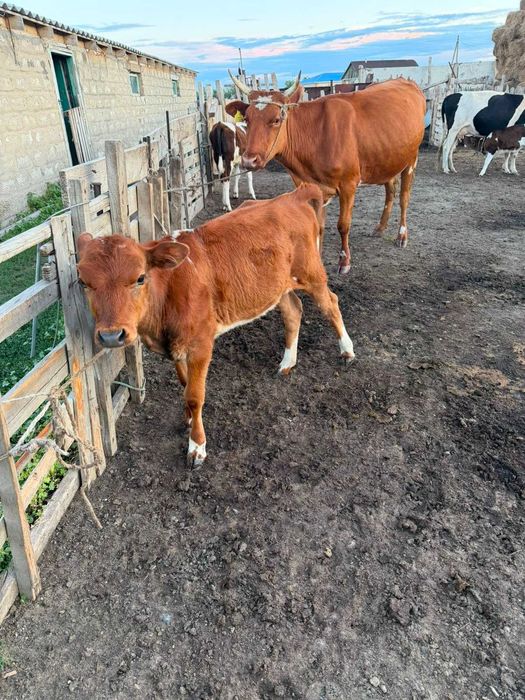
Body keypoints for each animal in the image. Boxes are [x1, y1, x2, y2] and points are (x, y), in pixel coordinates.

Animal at [76, 183, 355, 466]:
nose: (112, 336)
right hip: (278, 286)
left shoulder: (201, 344)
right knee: (293, 312)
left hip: (312, 274)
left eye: (140, 278)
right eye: (82, 282)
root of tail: (294, 196)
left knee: (331, 305)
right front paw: (188, 419)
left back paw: (347, 350)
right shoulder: (176, 345)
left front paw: (197, 445)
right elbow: (184, 383)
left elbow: (195, 395)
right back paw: (287, 362)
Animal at [226, 72, 426, 274]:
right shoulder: (313, 186)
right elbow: (318, 225)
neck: (316, 135)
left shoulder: (348, 184)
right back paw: (380, 227)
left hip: (412, 159)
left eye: (276, 119)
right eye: (247, 119)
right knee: (390, 190)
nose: (249, 160)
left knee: (404, 198)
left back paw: (401, 236)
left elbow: (343, 225)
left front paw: (344, 261)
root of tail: (405, 81)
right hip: (388, 158)